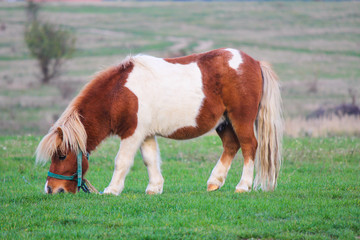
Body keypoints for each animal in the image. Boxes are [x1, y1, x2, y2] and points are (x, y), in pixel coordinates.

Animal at [37, 47, 284, 195]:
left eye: (61, 155)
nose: (50, 189)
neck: (119, 93)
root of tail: (254, 62)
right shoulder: (146, 134)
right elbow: (150, 160)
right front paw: (154, 188)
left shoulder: (132, 133)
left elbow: (122, 161)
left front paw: (112, 190)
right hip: (224, 122)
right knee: (231, 145)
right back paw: (215, 181)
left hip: (241, 119)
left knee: (249, 146)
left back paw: (243, 186)